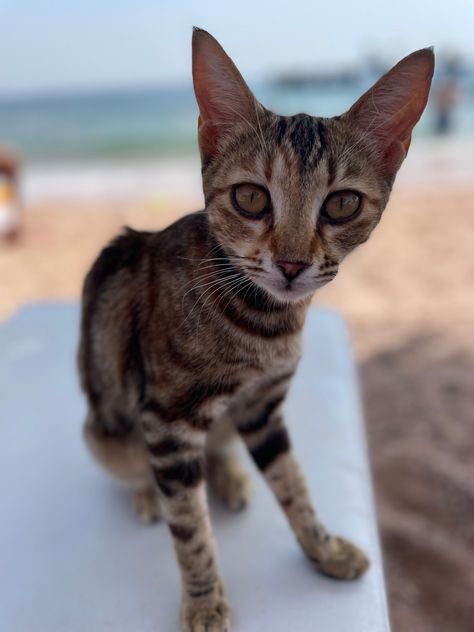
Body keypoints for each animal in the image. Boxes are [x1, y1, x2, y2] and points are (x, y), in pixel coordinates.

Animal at [78, 28, 434, 632]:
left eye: (342, 204)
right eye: (250, 197)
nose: (291, 264)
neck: (261, 324)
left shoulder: (262, 408)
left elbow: (295, 486)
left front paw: (323, 548)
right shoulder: (168, 421)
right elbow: (190, 527)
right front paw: (204, 601)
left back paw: (228, 476)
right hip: (106, 431)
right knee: (141, 472)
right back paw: (148, 495)